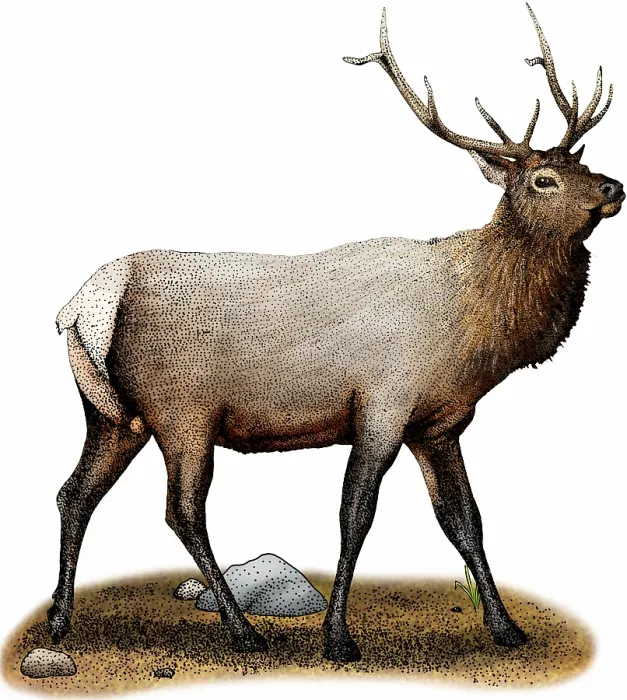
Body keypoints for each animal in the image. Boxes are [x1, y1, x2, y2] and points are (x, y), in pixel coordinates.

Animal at [48, 4, 622, 663]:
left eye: (581, 164)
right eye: (542, 180)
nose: (613, 187)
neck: (472, 337)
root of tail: (83, 305)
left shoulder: (439, 425)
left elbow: (466, 521)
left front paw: (506, 628)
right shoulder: (382, 406)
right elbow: (356, 514)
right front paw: (338, 637)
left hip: (113, 416)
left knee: (75, 494)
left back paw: (61, 620)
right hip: (182, 413)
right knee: (182, 511)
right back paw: (243, 630)